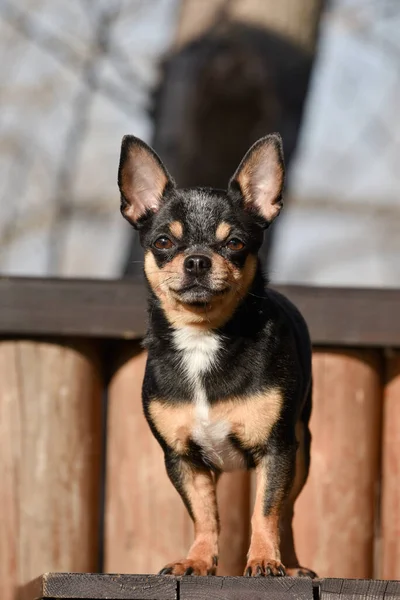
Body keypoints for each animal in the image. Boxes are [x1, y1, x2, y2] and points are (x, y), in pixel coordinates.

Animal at [117, 132, 314, 576]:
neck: (202, 337)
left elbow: (266, 511)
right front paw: (197, 559)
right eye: (163, 242)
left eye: (235, 243)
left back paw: (291, 564)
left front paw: (264, 560)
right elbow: (204, 514)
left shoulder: (277, 450)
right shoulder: (183, 459)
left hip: (301, 449)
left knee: (288, 512)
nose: (196, 260)